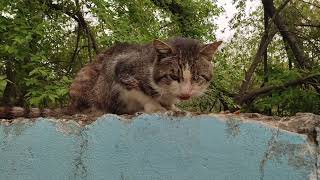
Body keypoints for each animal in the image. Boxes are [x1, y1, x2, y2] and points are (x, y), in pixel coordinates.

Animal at [0, 37, 221, 118]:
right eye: (173, 76)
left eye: (198, 77)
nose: (186, 93)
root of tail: (73, 104)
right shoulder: (120, 69)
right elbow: (141, 94)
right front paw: (156, 107)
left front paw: (174, 107)